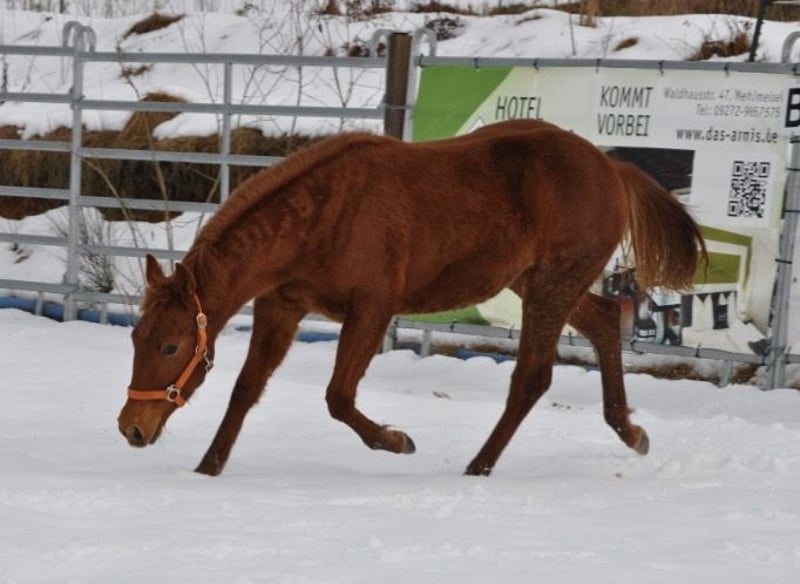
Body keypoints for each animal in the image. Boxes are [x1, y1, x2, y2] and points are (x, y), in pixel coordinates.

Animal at [118, 120, 705, 477]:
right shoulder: (282, 304)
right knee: (604, 322)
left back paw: (479, 466)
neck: (323, 213)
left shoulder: (372, 309)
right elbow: (246, 388)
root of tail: (612, 168)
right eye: (136, 337)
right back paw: (630, 431)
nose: (131, 428)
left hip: (551, 286)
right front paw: (207, 467)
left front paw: (397, 440)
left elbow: (338, 397)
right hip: (539, 282)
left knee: (532, 377)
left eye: (170, 347)